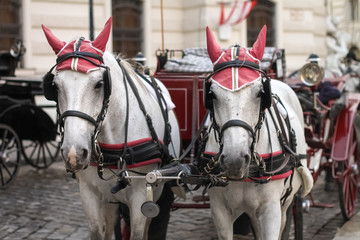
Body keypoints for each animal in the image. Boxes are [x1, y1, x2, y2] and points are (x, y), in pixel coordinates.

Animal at [41, 17, 180, 240]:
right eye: (54, 86)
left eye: (99, 84)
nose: (74, 153)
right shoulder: (89, 193)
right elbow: (98, 232)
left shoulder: (142, 195)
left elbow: (138, 232)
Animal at [201, 25, 314, 239]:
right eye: (212, 95)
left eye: (260, 93)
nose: (234, 160)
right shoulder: (219, 211)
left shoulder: (271, 210)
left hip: (285, 202)